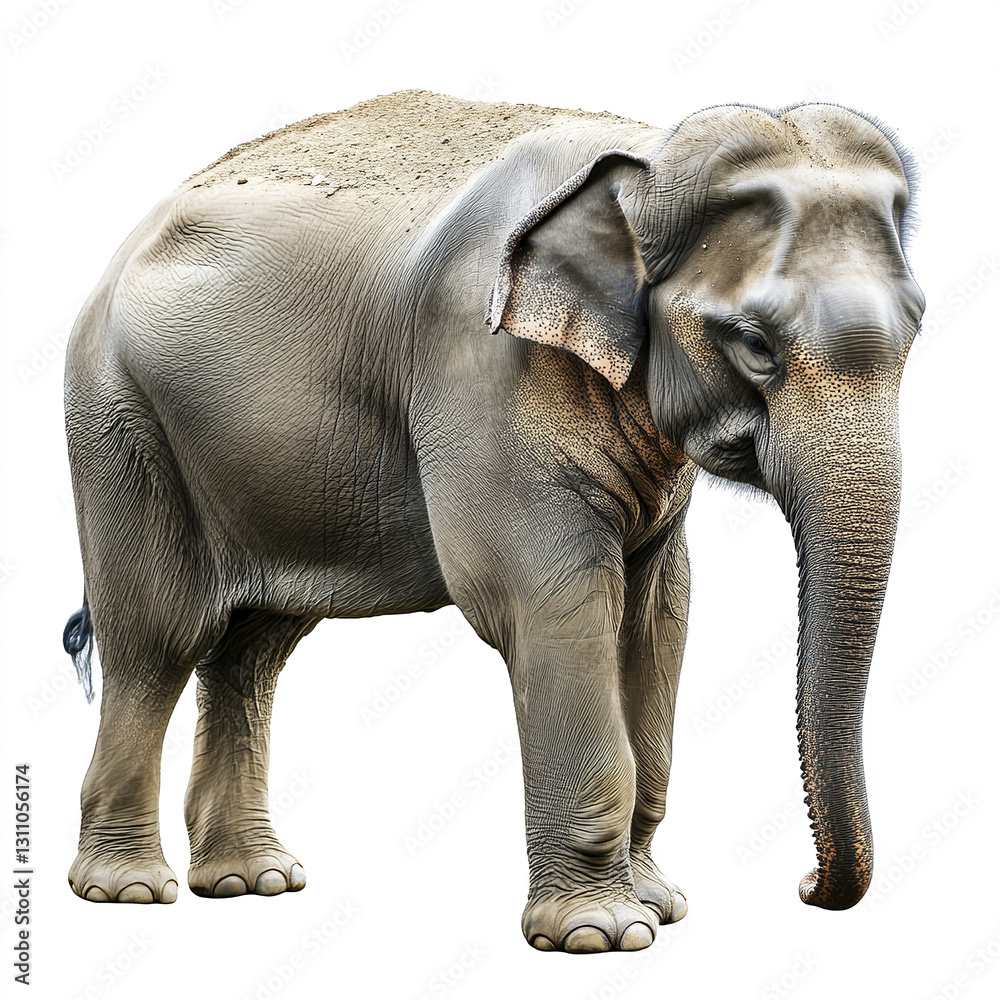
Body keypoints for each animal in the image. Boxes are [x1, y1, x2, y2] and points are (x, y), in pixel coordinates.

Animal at [62, 89, 924, 953]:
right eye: (753, 343)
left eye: (915, 328)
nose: (808, 885)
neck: (646, 162)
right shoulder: (480, 368)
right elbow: (546, 602)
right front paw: (602, 932)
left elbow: (658, 614)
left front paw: (661, 904)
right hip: (116, 418)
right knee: (158, 638)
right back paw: (128, 889)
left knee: (254, 647)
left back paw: (253, 882)